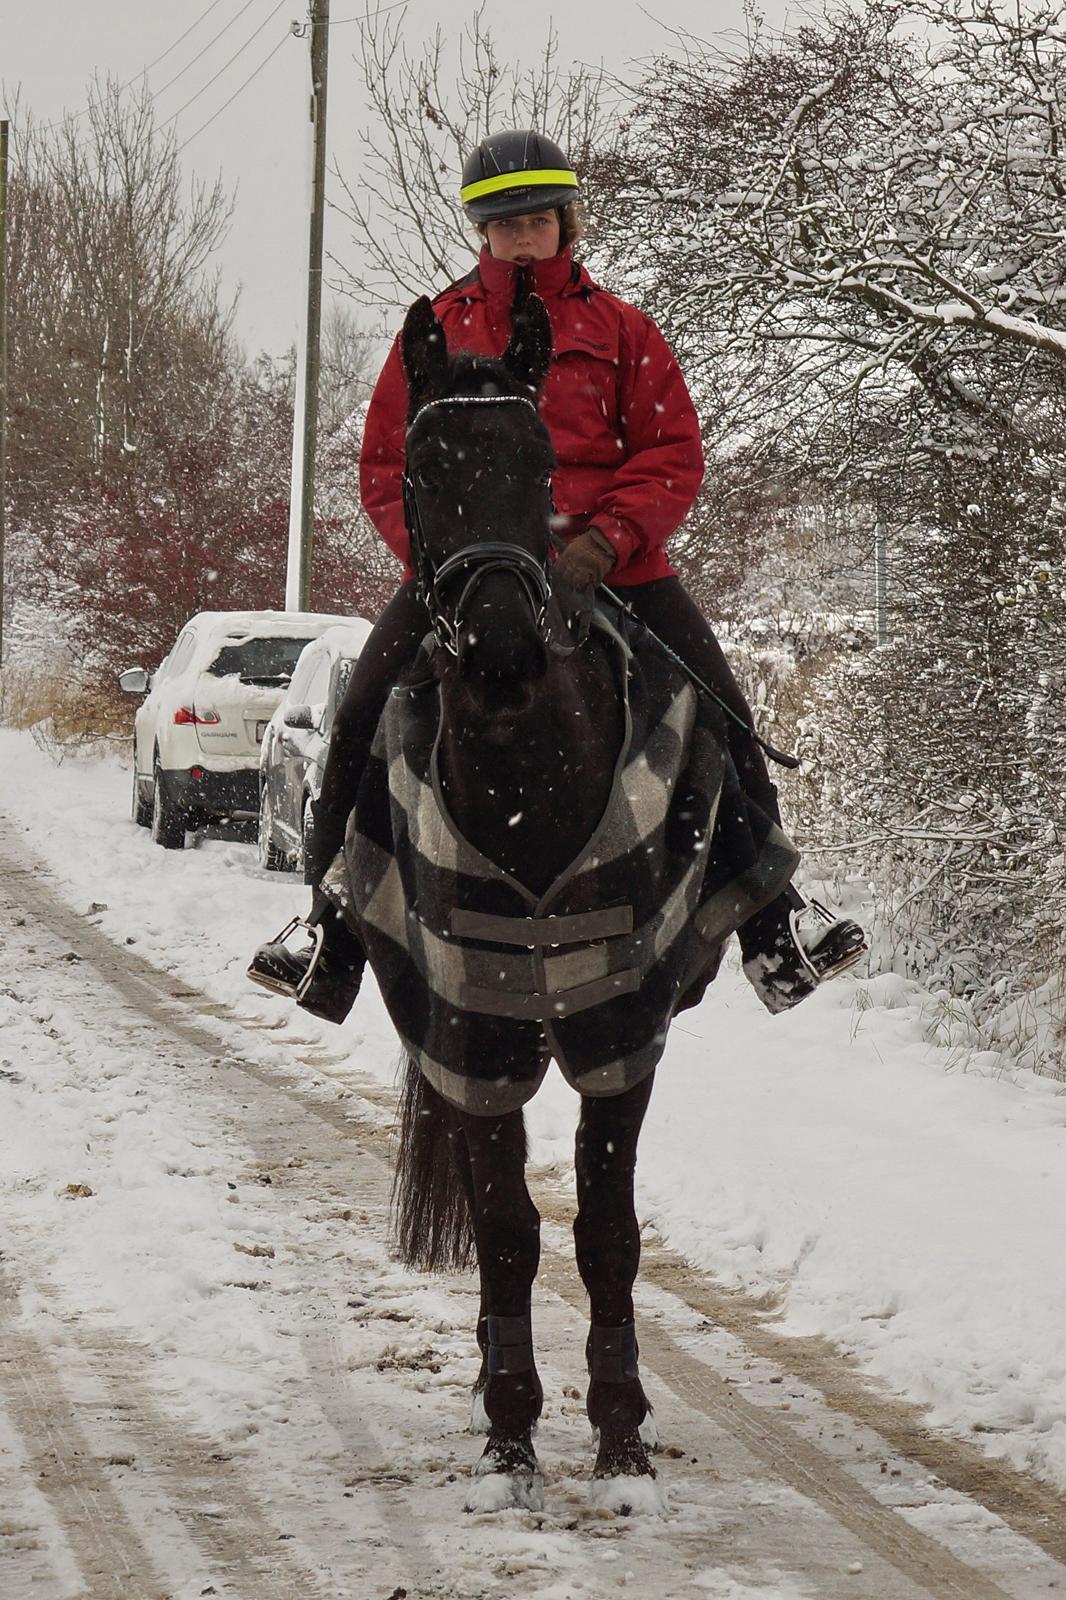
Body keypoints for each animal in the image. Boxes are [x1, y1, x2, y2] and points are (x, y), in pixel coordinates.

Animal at [323, 284, 797, 1510]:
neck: (522, 779)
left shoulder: (619, 1027)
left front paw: (621, 1438)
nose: (499, 644)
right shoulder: (473, 1025)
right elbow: (505, 1228)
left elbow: (605, 1232)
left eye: (541, 462)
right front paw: (511, 1438)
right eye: (422, 466)